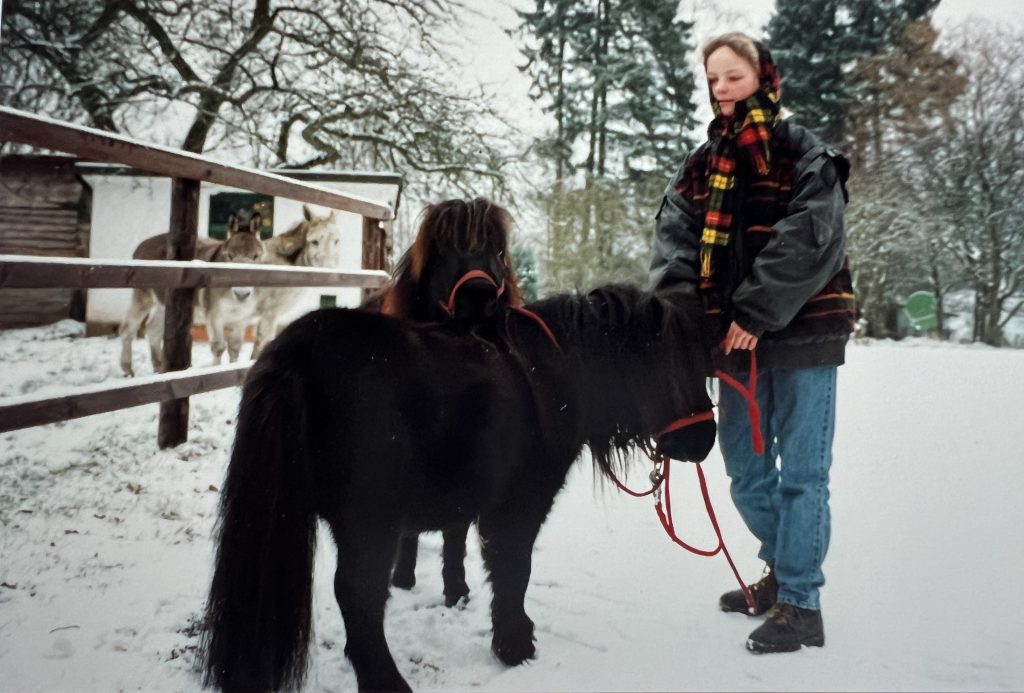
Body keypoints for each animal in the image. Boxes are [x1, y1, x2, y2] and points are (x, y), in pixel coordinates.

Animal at [197, 282, 712, 691]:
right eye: (669, 365)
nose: (705, 440)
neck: (551, 375)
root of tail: (297, 353)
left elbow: (460, 543)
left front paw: (465, 600)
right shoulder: (520, 504)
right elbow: (513, 569)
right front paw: (514, 644)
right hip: (369, 522)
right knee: (357, 594)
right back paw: (387, 683)